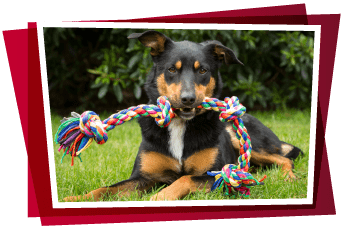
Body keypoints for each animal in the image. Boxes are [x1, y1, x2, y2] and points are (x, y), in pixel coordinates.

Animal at [63, 29, 302, 201]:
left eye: (203, 70)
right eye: (171, 69)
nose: (188, 99)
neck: (179, 124)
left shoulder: (215, 175)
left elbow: (185, 179)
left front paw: (158, 197)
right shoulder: (143, 177)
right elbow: (106, 189)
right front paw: (75, 199)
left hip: (243, 140)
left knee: (283, 159)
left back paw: (289, 178)